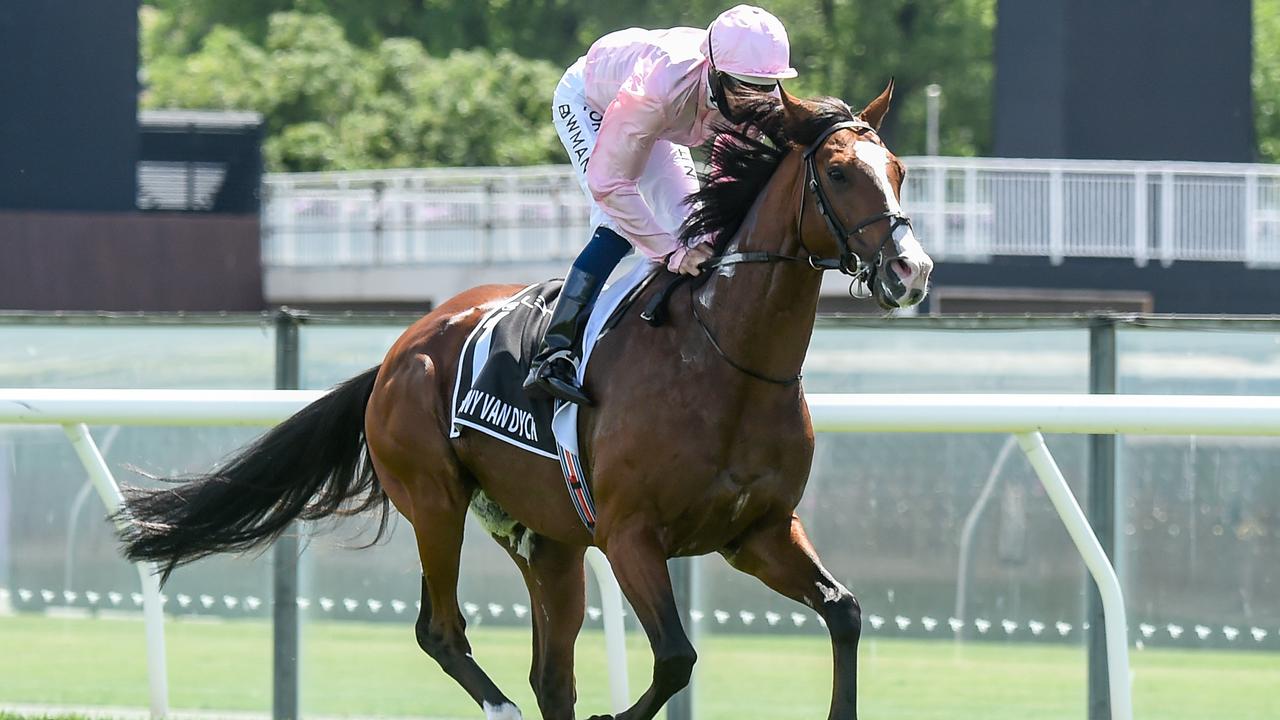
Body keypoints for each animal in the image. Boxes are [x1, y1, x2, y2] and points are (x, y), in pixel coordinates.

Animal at [117, 79, 931, 717]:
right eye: (839, 172)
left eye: (897, 169)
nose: (911, 270)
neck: (724, 360)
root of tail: (399, 350)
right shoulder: (631, 535)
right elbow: (675, 659)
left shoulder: (757, 530)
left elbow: (845, 613)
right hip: (436, 500)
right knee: (445, 632)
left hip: (544, 539)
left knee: (550, 675)